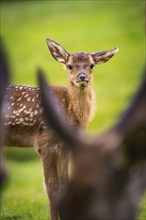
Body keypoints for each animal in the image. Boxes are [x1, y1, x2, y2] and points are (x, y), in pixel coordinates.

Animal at [2, 38, 118, 219]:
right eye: (70, 66)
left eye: (91, 65)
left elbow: (64, 184)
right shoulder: (44, 143)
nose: (82, 77)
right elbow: (51, 187)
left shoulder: (65, 146)